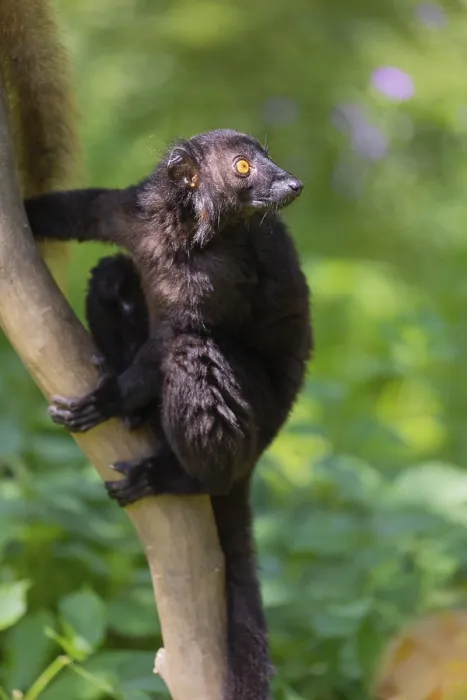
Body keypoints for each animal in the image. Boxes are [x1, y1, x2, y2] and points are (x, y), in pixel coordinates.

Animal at [24, 129, 313, 700]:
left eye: (265, 158)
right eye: (244, 166)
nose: (292, 183)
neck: (184, 234)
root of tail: (257, 453)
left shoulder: (215, 279)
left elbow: (173, 339)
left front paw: (110, 400)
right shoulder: (133, 213)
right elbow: (77, 210)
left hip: (251, 421)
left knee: (190, 352)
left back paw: (180, 476)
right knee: (113, 273)